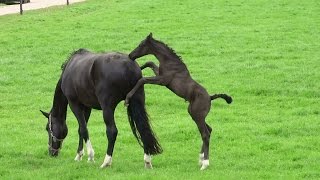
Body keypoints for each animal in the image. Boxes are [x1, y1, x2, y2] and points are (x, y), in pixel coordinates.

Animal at [125, 33, 232, 170]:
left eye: (141, 45)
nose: (130, 55)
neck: (170, 62)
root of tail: (210, 97)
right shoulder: (159, 74)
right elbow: (150, 63)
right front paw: (140, 67)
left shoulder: (162, 80)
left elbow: (142, 80)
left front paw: (127, 98)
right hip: (194, 113)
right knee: (209, 129)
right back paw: (201, 158)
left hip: (197, 115)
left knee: (205, 134)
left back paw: (205, 164)